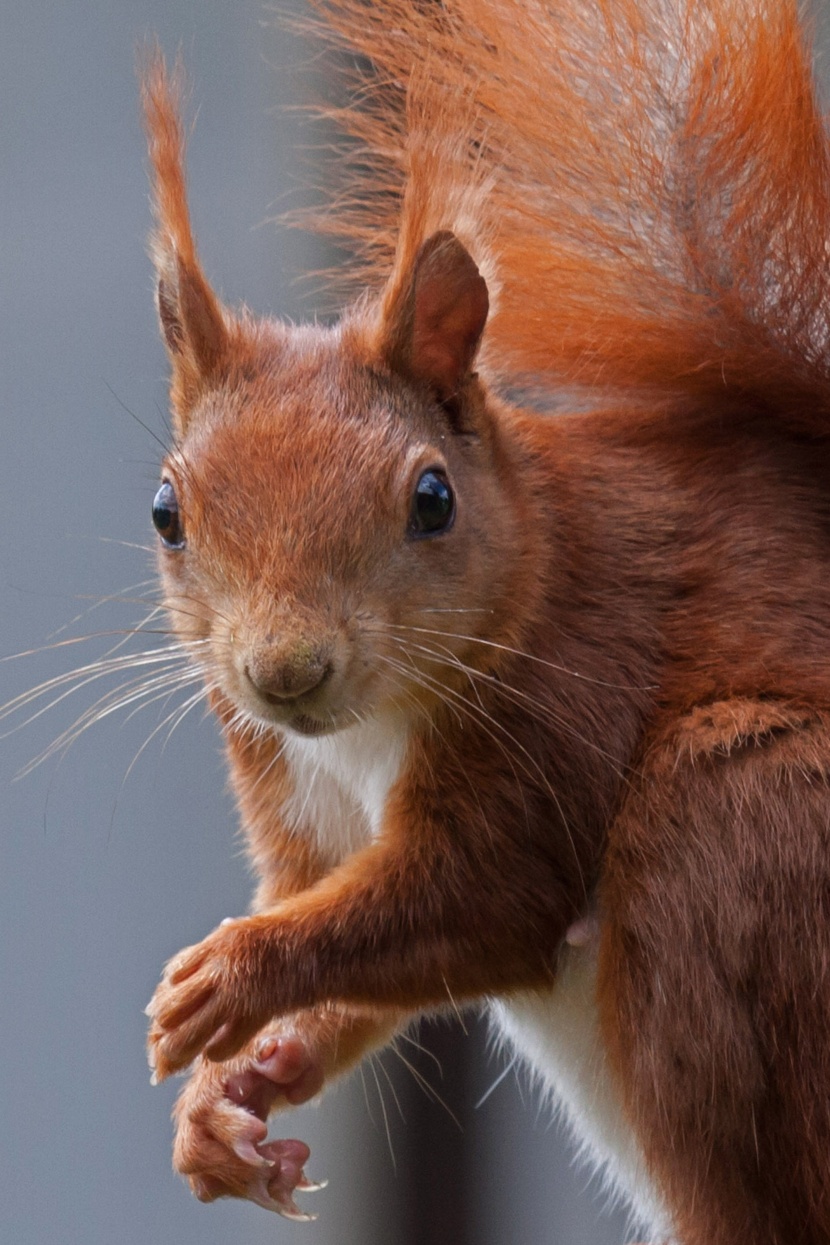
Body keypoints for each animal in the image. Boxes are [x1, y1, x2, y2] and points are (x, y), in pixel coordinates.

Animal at [144, 0, 830, 1240]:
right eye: (166, 511)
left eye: (432, 498)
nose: (284, 672)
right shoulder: (290, 793)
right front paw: (231, 1096)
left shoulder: (572, 682)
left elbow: (475, 894)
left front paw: (234, 974)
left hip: (739, 816)